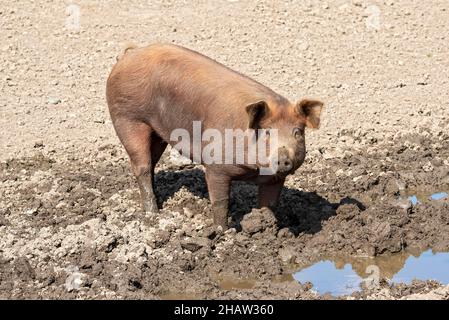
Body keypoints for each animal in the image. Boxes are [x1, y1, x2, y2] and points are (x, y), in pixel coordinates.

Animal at [106, 43, 322, 230]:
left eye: (298, 132)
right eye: (267, 132)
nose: (283, 157)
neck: (254, 171)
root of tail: (130, 53)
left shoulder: (274, 178)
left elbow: (269, 203)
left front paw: (269, 228)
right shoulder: (216, 166)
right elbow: (220, 201)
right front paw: (223, 232)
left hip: (157, 133)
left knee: (150, 164)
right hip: (127, 117)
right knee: (141, 166)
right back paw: (153, 213)